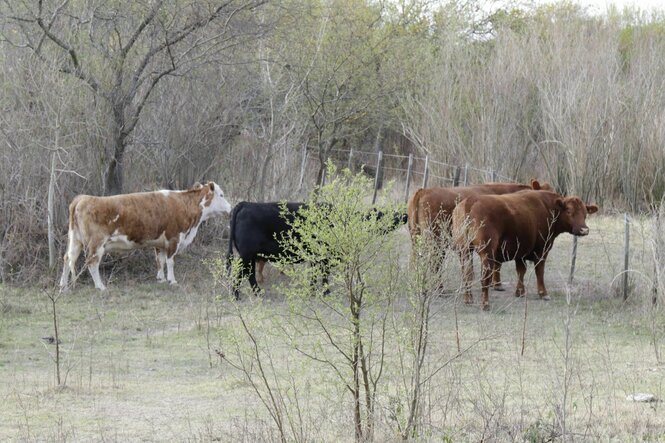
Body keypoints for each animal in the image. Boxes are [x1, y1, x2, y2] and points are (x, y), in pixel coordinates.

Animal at [59, 181, 231, 292]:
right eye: (221, 195)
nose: (230, 208)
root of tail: (83, 198)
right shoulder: (174, 238)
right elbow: (170, 262)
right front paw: (172, 280)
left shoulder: (160, 243)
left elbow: (160, 260)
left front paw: (161, 279)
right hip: (96, 244)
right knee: (92, 262)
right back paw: (100, 286)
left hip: (75, 240)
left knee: (67, 258)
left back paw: (63, 286)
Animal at [408, 180, 552, 292]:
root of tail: (424, 191)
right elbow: (497, 264)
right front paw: (497, 285)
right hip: (436, 241)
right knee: (435, 262)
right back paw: (439, 288)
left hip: (416, 239)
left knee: (416, 261)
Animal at [452, 189, 596, 310]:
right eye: (569, 211)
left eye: (585, 214)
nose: (584, 230)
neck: (547, 208)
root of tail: (472, 200)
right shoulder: (542, 250)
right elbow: (539, 271)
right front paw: (543, 293)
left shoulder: (521, 251)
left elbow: (521, 271)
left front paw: (520, 292)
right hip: (486, 252)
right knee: (484, 277)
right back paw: (485, 304)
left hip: (464, 251)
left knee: (467, 273)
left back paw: (468, 299)